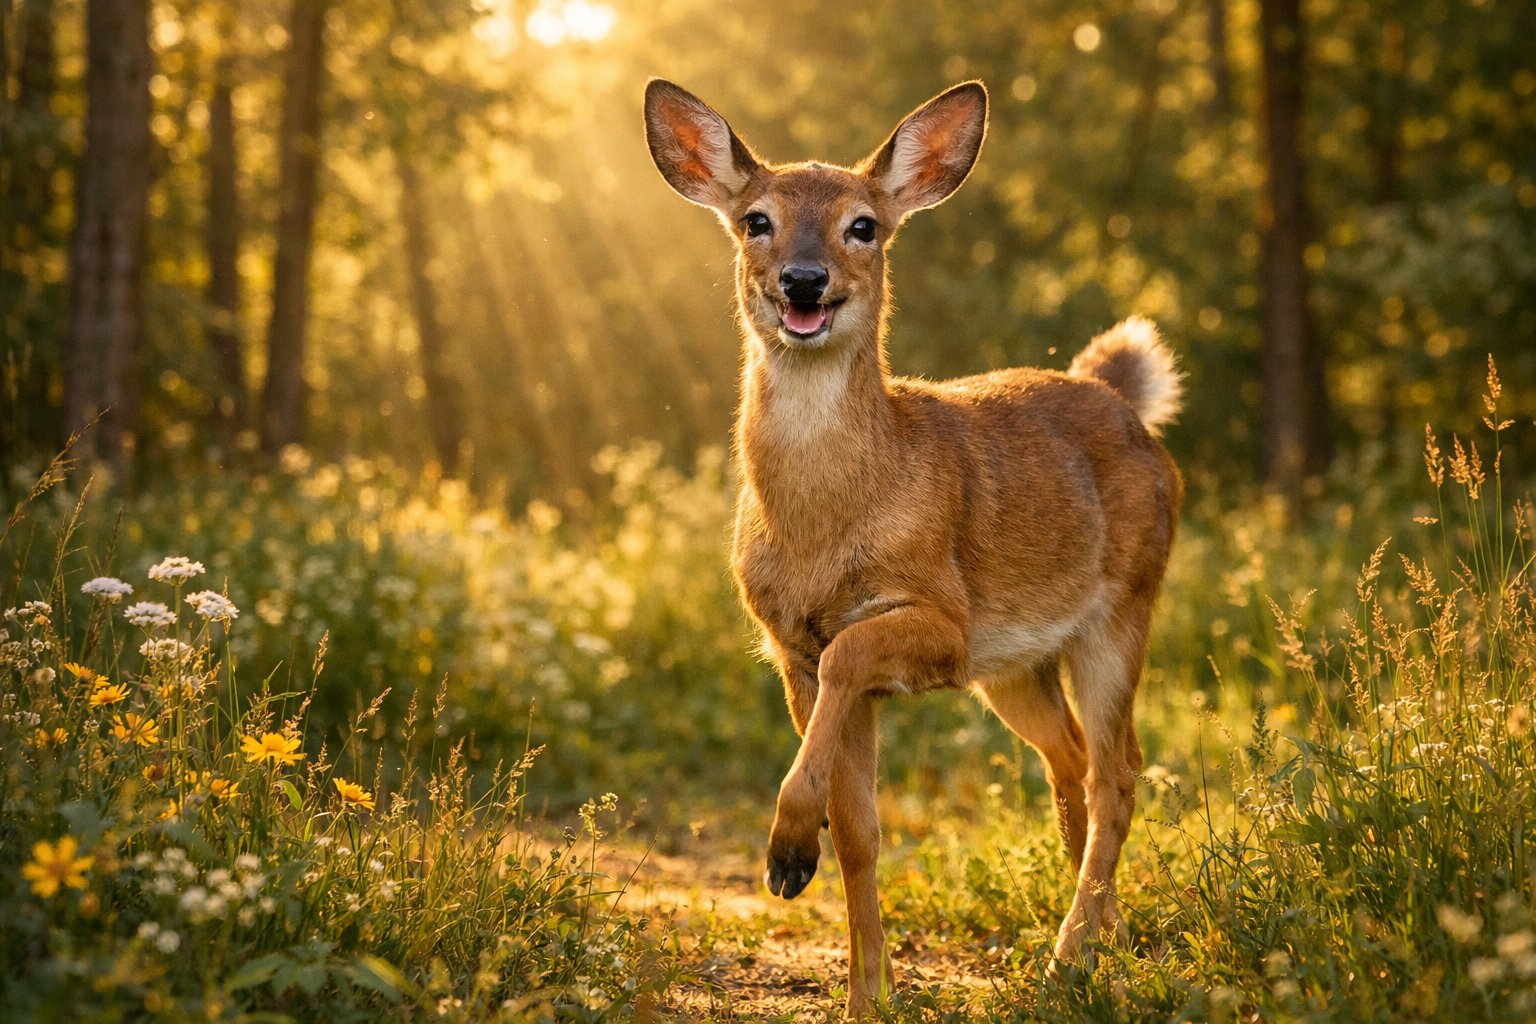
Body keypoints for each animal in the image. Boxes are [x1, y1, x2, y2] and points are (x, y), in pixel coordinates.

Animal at [643, 77, 1183, 1019]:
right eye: (755, 219)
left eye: (864, 224)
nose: (805, 280)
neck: (823, 525)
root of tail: (1123, 401)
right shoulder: (790, 647)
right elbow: (860, 827)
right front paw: (867, 991)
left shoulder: (941, 622)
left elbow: (853, 655)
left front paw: (787, 852)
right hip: (1018, 667)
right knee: (1075, 761)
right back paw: (1104, 940)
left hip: (1121, 608)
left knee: (1119, 771)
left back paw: (1068, 958)